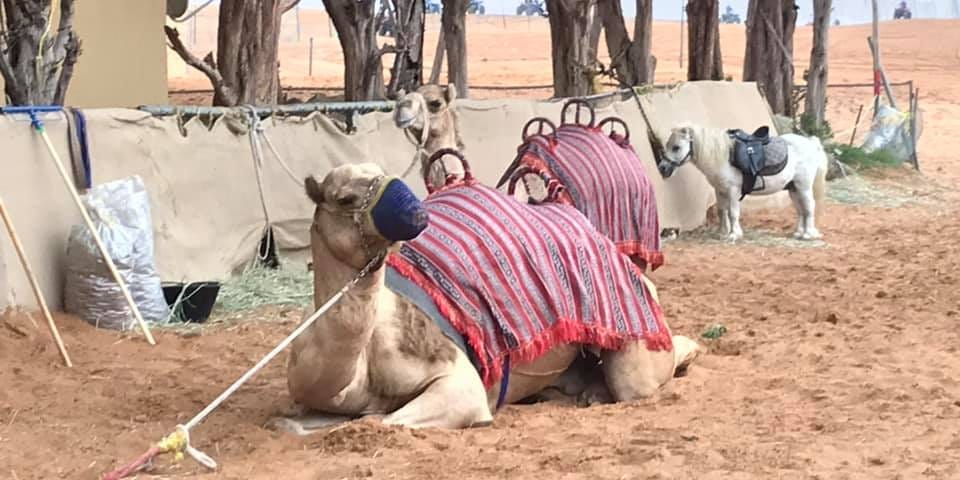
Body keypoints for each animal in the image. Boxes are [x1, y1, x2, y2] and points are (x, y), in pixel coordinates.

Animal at [274, 160, 700, 432]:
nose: (412, 209)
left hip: (634, 319)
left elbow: (387, 420)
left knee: (640, 378)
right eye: (345, 197)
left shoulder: (457, 377)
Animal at [656, 122, 828, 242]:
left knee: (809, 207)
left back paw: (807, 234)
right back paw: (799, 232)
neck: (724, 157)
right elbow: (722, 211)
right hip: (793, 188)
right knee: (800, 209)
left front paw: (734, 235)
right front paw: (723, 233)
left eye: (676, 147)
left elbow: (733, 213)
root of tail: (811, 142)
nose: (662, 168)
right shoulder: (720, 190)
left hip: (803, 186)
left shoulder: (733, 191)